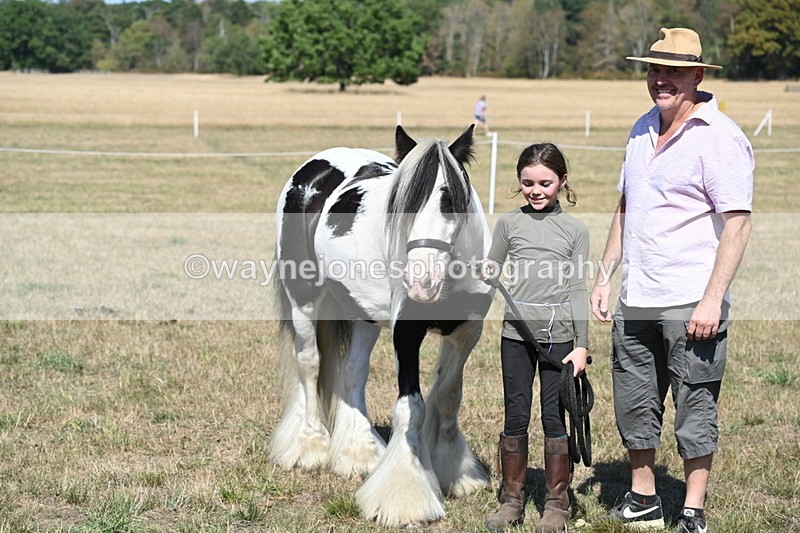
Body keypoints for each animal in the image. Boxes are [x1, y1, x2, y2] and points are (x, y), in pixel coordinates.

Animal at [270, 125, 494, 526]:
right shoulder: (406, 333)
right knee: (309, 365)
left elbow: (448, 397)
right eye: (400, 202)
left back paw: (360, 453)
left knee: (353, 372)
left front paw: (452, 470)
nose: (421, 281)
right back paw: (311, 447)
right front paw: (405, 496)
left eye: (450, 199)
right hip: (303, 303)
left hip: (364, 316)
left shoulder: (466, 333)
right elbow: (412, 407)